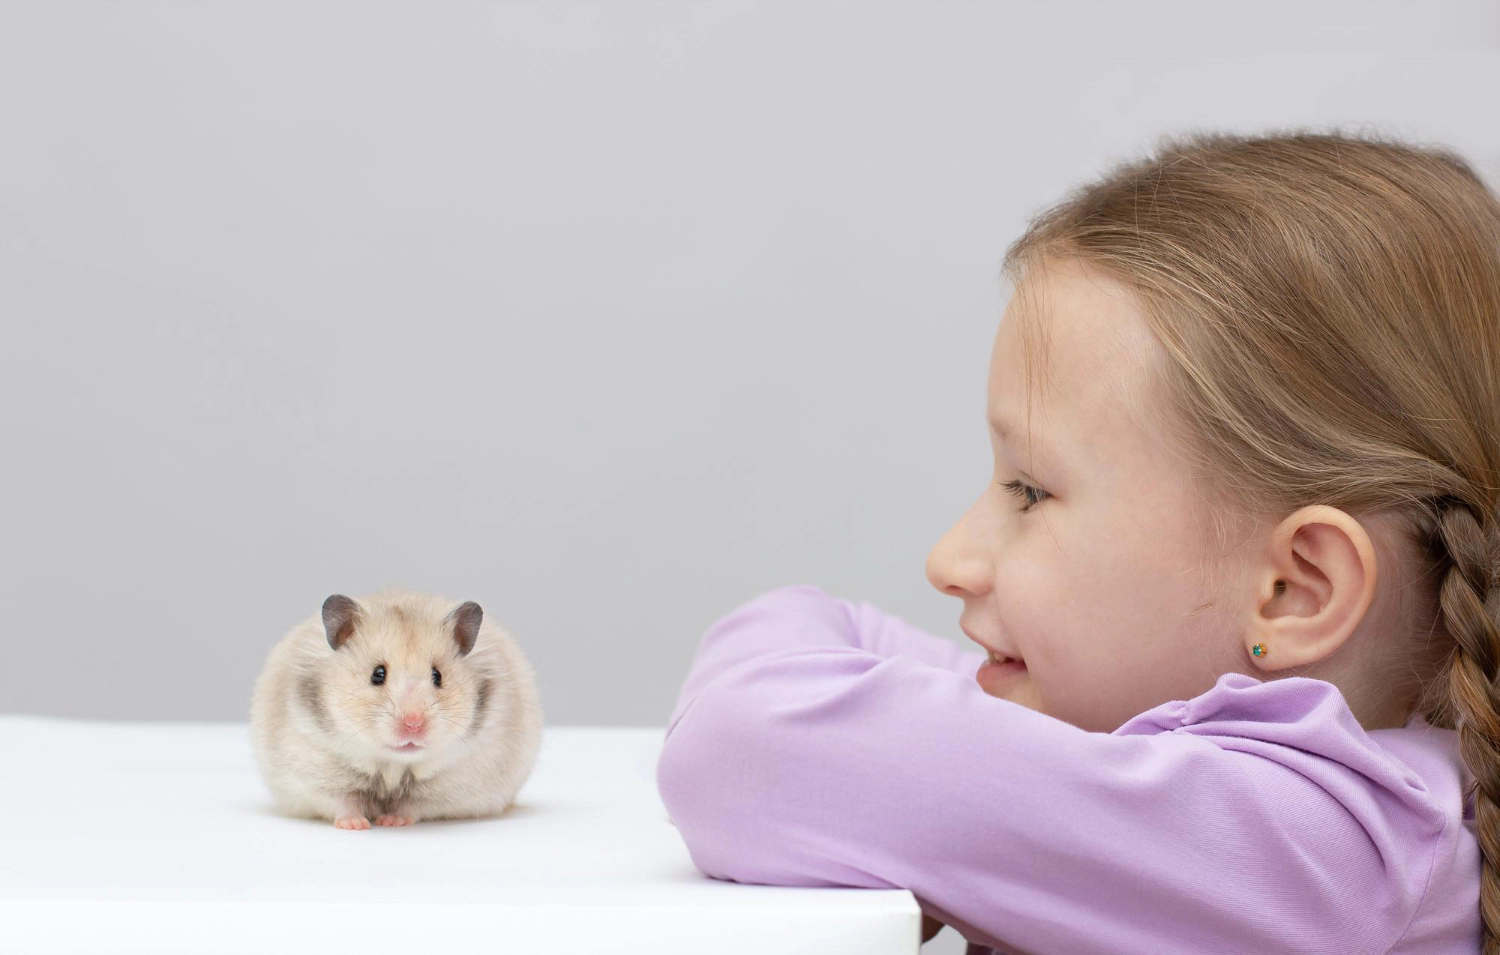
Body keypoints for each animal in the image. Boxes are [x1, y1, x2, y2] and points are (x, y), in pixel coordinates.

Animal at [249, 588, 543, 829]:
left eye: (437, 676)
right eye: (377, 674)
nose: (413, 724)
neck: (393, 764)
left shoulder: (455, 784)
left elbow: (414, 805)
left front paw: (391, 821)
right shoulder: (314, 769)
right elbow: (342, 801)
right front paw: (357, 825)